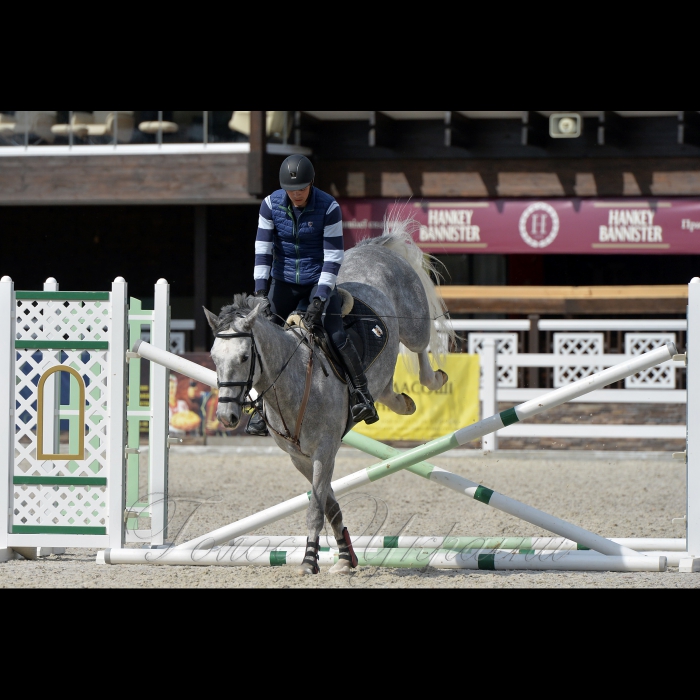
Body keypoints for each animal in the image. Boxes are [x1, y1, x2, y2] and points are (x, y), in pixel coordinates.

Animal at [202, 217, 454, 576]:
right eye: (213, 357)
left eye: (243, 357)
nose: (226, 416)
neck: (292, 384)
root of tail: (374, 248)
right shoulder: (300, 457)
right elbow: (328, 504)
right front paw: (346, 556)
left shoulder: (325, 449)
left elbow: (316, 509)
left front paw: (310, 560)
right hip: (382, 371)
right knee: (385, 388)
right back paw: (401, 403)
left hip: (413, 323)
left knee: (422, 349)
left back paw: (434, 379)